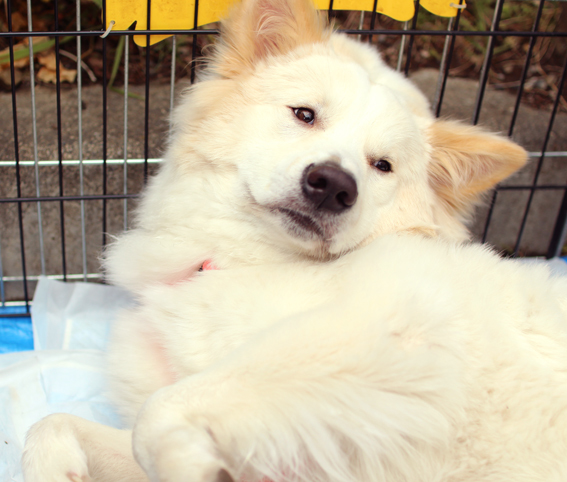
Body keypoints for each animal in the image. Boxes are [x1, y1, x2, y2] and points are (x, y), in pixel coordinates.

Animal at [23, 0, 567, 481]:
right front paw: (54, 467)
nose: (333, 185)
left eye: (382, 165)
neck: (250, 262)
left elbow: (163, 409)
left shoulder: (394, 336)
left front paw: (192, 466)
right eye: (304, 114)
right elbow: (50, 422)